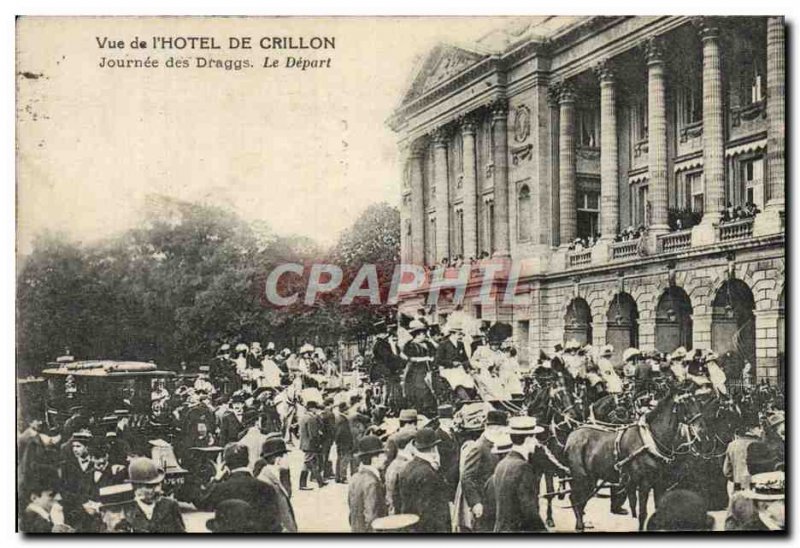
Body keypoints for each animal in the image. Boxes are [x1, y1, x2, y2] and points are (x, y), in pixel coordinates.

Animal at [564, 386, 712, 532]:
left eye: (696, 402)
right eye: (685, 403)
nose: (702, 429)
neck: (650, 440)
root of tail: (572, 435)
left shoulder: (659, 483)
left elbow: (658, 510)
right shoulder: (644, 484)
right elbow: (642, 514)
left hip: (591, 478)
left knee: (580, 499)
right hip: (581, 477)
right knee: (575, 498)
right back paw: (580, 525)